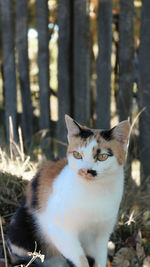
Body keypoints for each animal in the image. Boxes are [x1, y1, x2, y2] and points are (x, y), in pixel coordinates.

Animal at [7, 115, 130, 267]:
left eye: (102, 157)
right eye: (77, 155)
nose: (85, 170)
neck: (95, 192)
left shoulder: (102, 234)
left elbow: (100, 260)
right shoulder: (60, 231)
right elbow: (81, 259)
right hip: (22, 225)